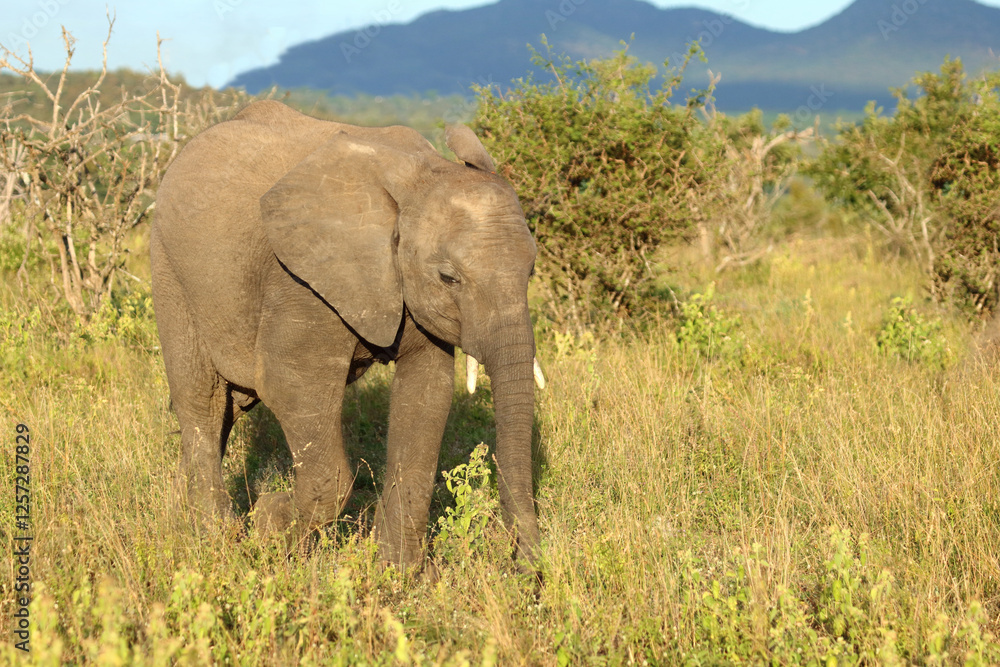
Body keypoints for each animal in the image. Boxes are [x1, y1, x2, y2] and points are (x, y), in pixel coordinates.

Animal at [151, 99, 540, 568]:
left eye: (531, 270)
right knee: (203, 403)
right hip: (171, 271)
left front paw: (398, 573)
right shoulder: (300, 278)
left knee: (229, 408)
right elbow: (291, 384)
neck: (421, 173)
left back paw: (178, 516)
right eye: (449, 278)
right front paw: (271, 526)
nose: (527, 568)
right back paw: (215, 537)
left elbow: (427, 394)